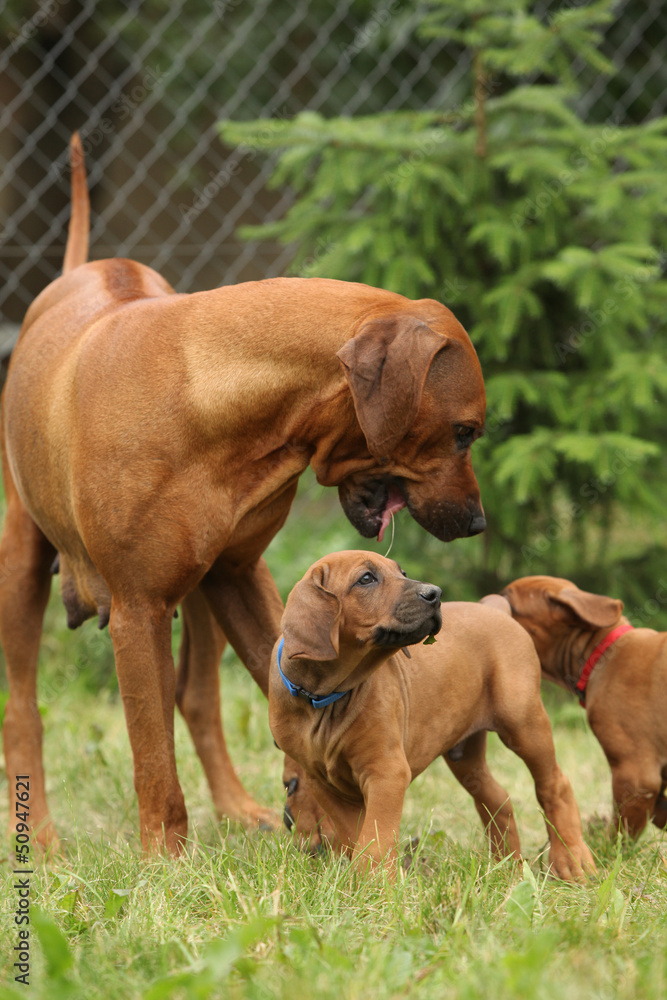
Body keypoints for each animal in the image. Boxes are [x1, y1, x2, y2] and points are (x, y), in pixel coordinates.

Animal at [2, 133, 488, 852]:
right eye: (463, 432)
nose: (479, 522)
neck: (207, 394)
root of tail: (80, 269)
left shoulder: (238, 573)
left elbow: (284, 685)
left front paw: (319, 814)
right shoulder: (139, 607)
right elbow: (153, 754)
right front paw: (163, 860)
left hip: (205, 585)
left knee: (198, 696)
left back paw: (236, 807)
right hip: (22, 558)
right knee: (23, 707)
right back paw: (39, 835)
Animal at [268, 548, 596, 884]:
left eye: (401, 572)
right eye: (366, 579)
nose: (435, 594)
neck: (323, 698)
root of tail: (495, 609)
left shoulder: (386, 772)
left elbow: (375, 840)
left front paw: (378, 886)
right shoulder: (323, 783)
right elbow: (356, 838)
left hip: (523, 722)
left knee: (555, 784)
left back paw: (572, 862)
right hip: (465, 755)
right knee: (497, 799)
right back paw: (509, 870)